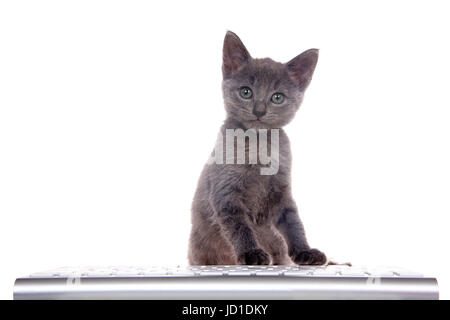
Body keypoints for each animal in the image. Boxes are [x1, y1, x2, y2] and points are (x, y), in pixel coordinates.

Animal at [187, 31, 326, 264]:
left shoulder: (281, 192)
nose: (259, 111)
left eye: (277, 97)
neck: (259, 145)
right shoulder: (226, 192)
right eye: (246, 92)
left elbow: (294, 223)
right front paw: (251, 253)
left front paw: (305, 251)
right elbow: (239, 226)